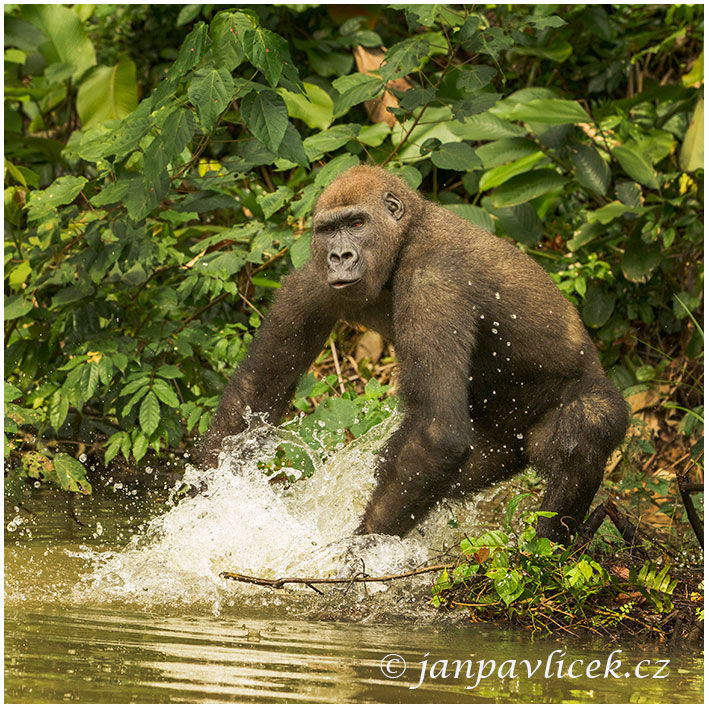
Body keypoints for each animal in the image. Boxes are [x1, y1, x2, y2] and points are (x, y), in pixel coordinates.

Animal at [196, 165, 628, 544]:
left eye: (357, 223)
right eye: (328, 230)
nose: (340, 256)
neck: (405, 237)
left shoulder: (434, 280)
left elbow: (438, 433)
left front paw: (359, 550)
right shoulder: (315, 279)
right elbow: (260, 386)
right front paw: (207, 500)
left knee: (592, 419)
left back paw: (549, 551)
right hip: (498, 445)